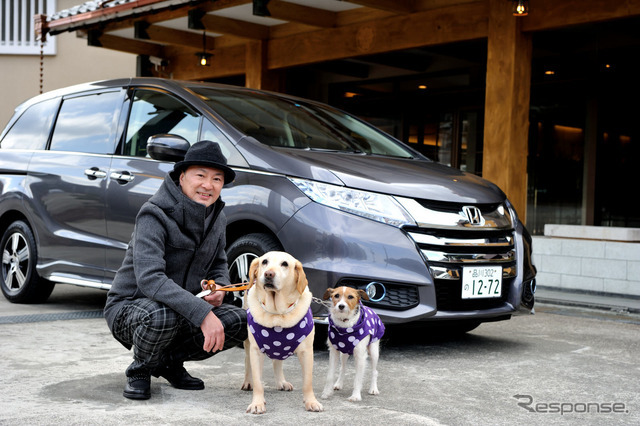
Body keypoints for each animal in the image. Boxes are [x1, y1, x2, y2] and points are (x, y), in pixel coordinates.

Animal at [240, 251, 322, 414]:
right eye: (264, 262)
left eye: (285, 264)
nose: (268, 274)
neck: (277, 314)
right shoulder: (256, 351)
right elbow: (258, 382)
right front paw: (257, 403)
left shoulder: (306, 352)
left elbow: (307, 382)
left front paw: (311, 402)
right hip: (248, 343)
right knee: (247, 361)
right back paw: (248, 381)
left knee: (277, 361)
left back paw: (281, 382)